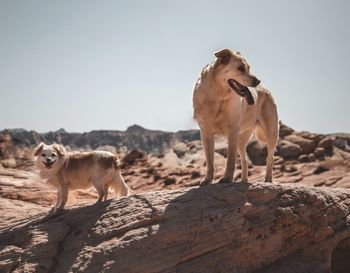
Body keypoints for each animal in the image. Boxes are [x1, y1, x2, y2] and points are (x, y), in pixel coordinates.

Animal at [191, 49, 278, 185]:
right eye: (241, 68)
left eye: (249, 68)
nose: (258, 81)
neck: (217, 96)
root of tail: (266, 89)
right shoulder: (205, 133)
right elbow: (210, 161)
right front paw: (207, 180)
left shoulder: (232, 131)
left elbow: (230, 160)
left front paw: (227, 178)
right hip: (241, 139)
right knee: (244, 159)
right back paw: (244, 180)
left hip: (271, 132)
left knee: (270, 157)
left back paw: (268, 178)